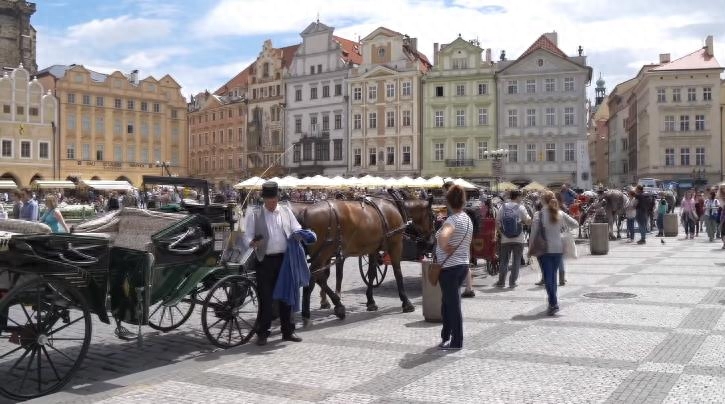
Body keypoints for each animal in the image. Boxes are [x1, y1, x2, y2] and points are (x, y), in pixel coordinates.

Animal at [290, 196, 436, 326]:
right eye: (432, 217)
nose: (432, 241)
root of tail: (305, 212)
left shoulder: (373, 249)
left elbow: (371, 274)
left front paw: (371, 302)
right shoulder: (395, 245)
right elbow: (397, 273)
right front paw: (406, 302)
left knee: (318, 277)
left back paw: (333, 306)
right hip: (324, 253)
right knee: (315, 277)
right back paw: (317, 311)